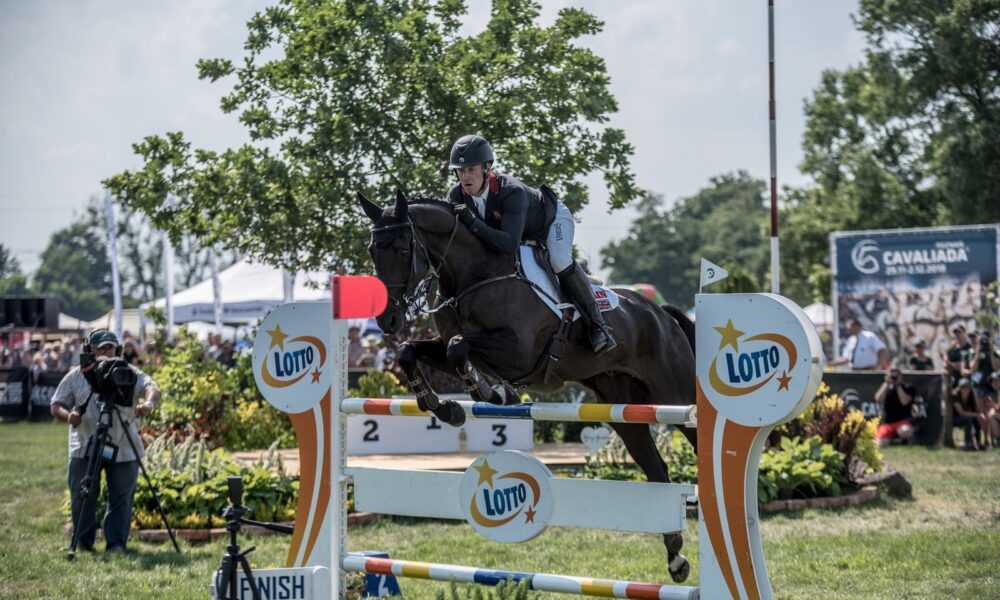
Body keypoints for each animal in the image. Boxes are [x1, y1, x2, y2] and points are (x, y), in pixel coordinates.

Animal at [358, 189, 696, 580]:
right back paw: (676, 560)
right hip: (625, 412)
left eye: (401, 248)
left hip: (675, 398)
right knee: (657, 470)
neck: (471, 276)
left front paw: (491, 391)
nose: (387, 319)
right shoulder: (445, 344)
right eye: (373, 249)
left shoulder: (518, 352)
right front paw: (447, 408)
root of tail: (661, 314)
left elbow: (460, 349)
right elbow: (410, 351)